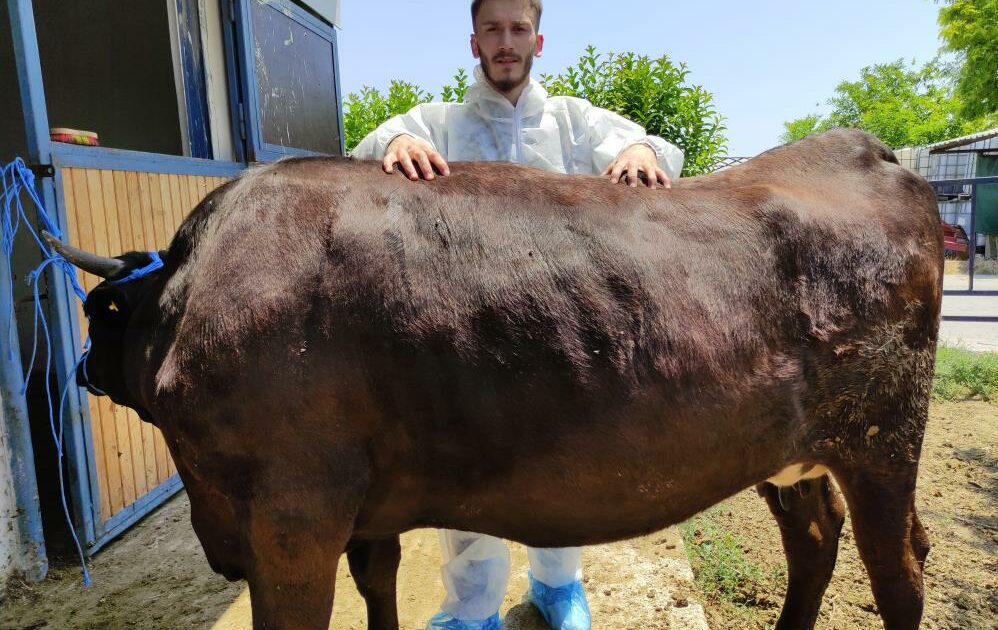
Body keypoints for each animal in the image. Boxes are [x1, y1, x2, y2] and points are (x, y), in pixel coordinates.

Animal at [50, 128, 944, 630]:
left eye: (95, 312)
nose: (78, 369)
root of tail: (856, 147)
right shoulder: (365, 506)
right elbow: (379, 587)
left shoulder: (289, 518)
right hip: (790, 451)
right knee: (816, 538)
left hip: (884, 442)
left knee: (898, 571)